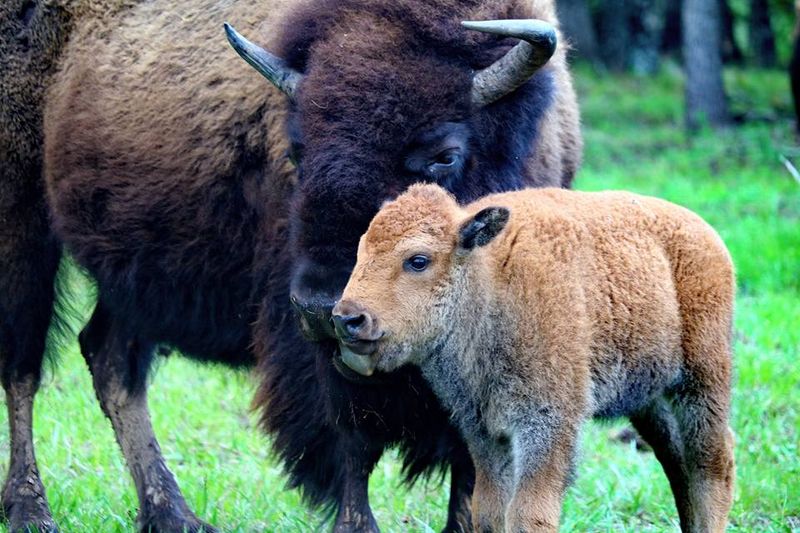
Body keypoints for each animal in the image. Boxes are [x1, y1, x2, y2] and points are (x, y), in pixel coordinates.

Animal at [0, 0, 581, 531]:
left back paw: (173, 516)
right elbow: (351, 445)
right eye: (297, 152)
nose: (322, 307)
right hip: (24, 230)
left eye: (445, 155)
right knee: (23, 367)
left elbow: (472, 466)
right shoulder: (320, 359)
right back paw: (32, 511)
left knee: (110, 360)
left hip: (134, 278)